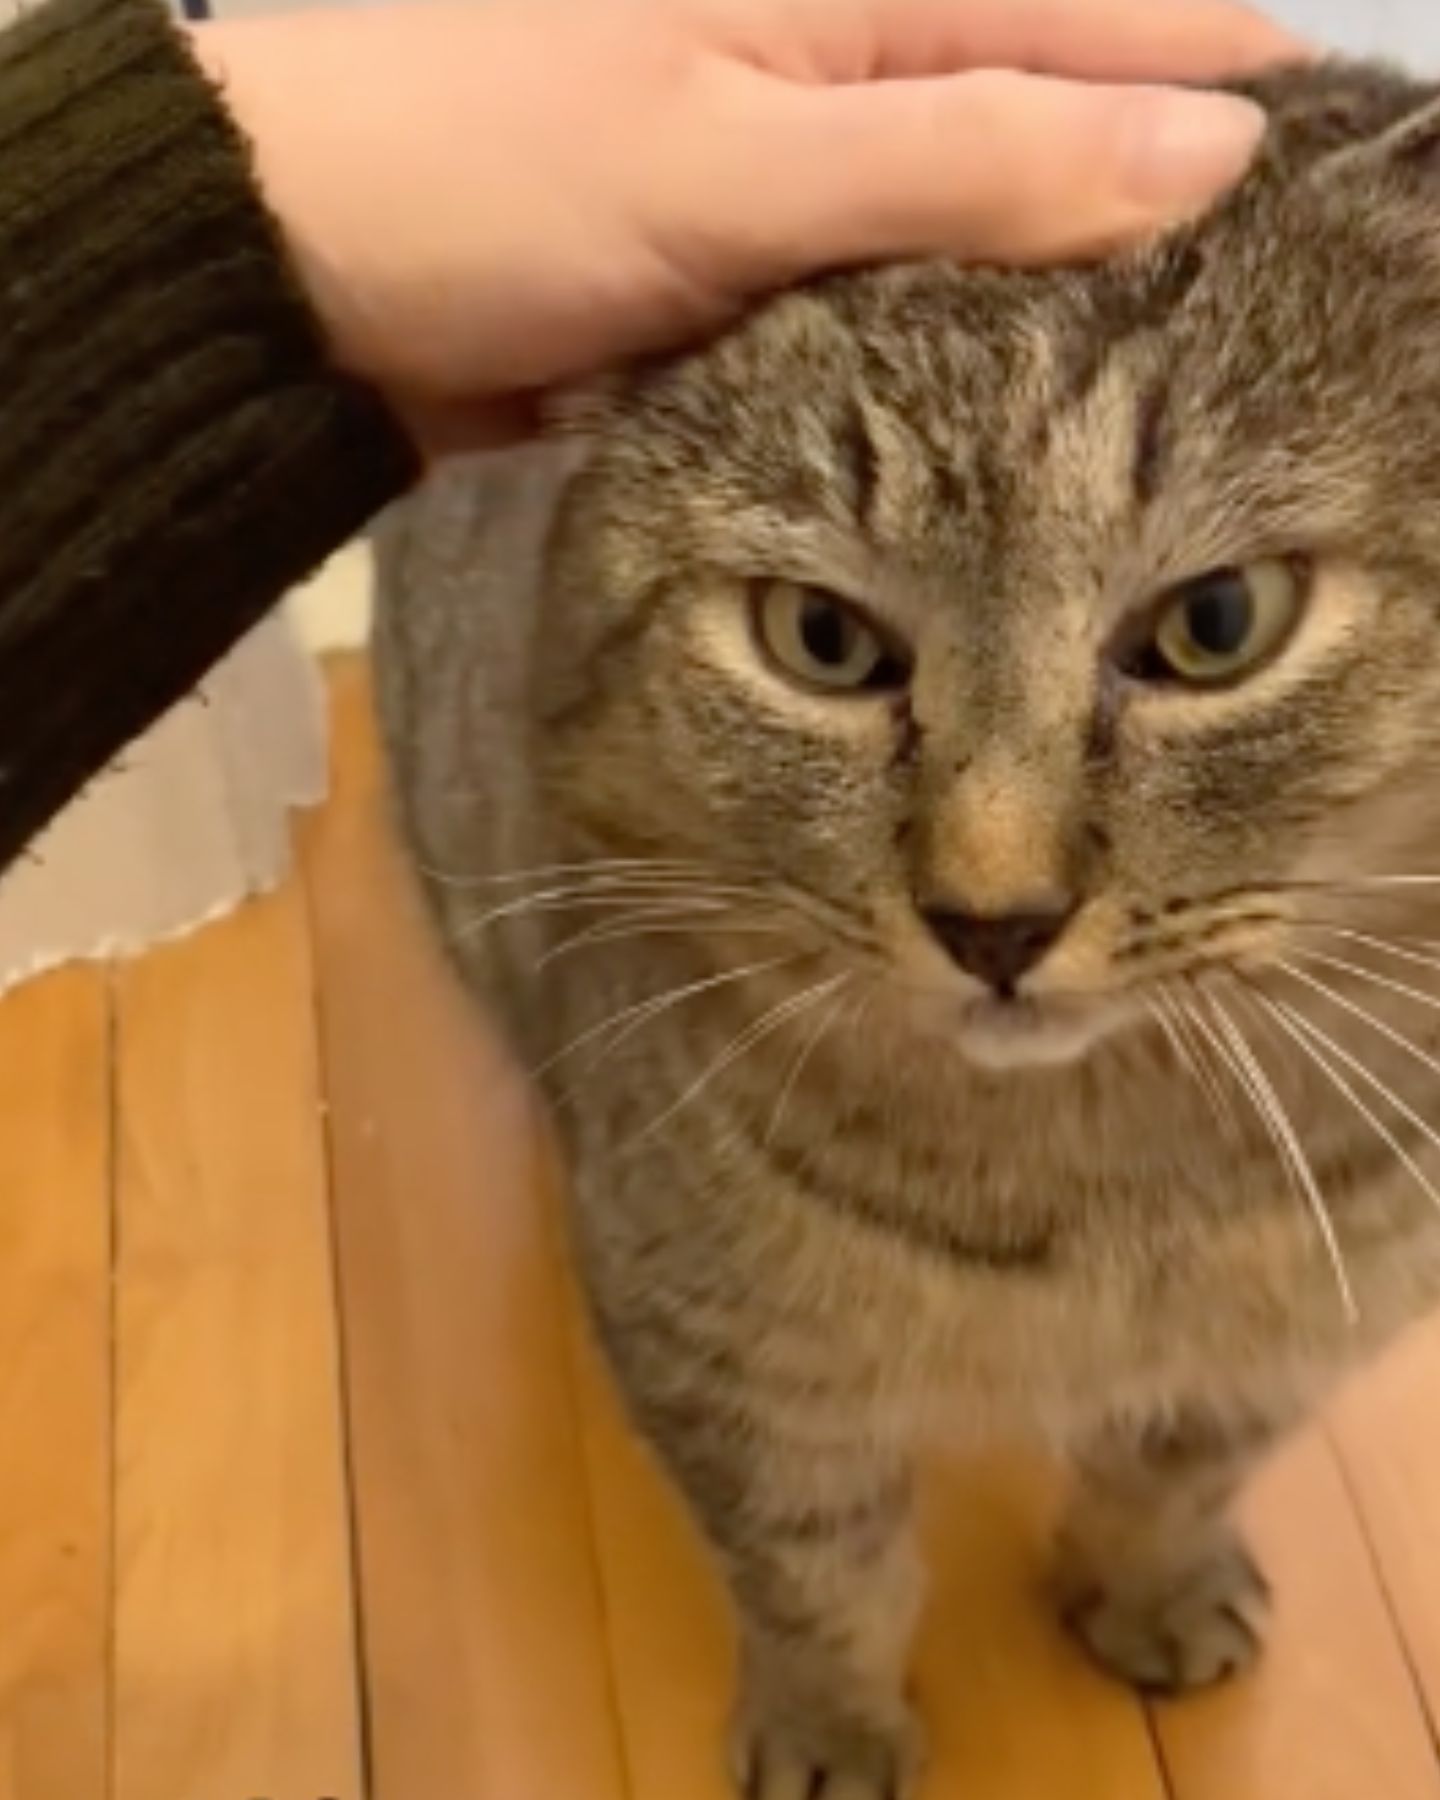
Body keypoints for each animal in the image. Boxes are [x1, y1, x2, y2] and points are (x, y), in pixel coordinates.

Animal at [374, 59, 1440, 1800]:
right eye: (820, 639)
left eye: (1219, 625)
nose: (993, 918)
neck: (1104, 1188)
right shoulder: (723, 1350)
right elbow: (817, 1574)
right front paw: (829, 1730)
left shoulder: (1307, 1324)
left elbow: (1178, 1471)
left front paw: (1156, 1589)